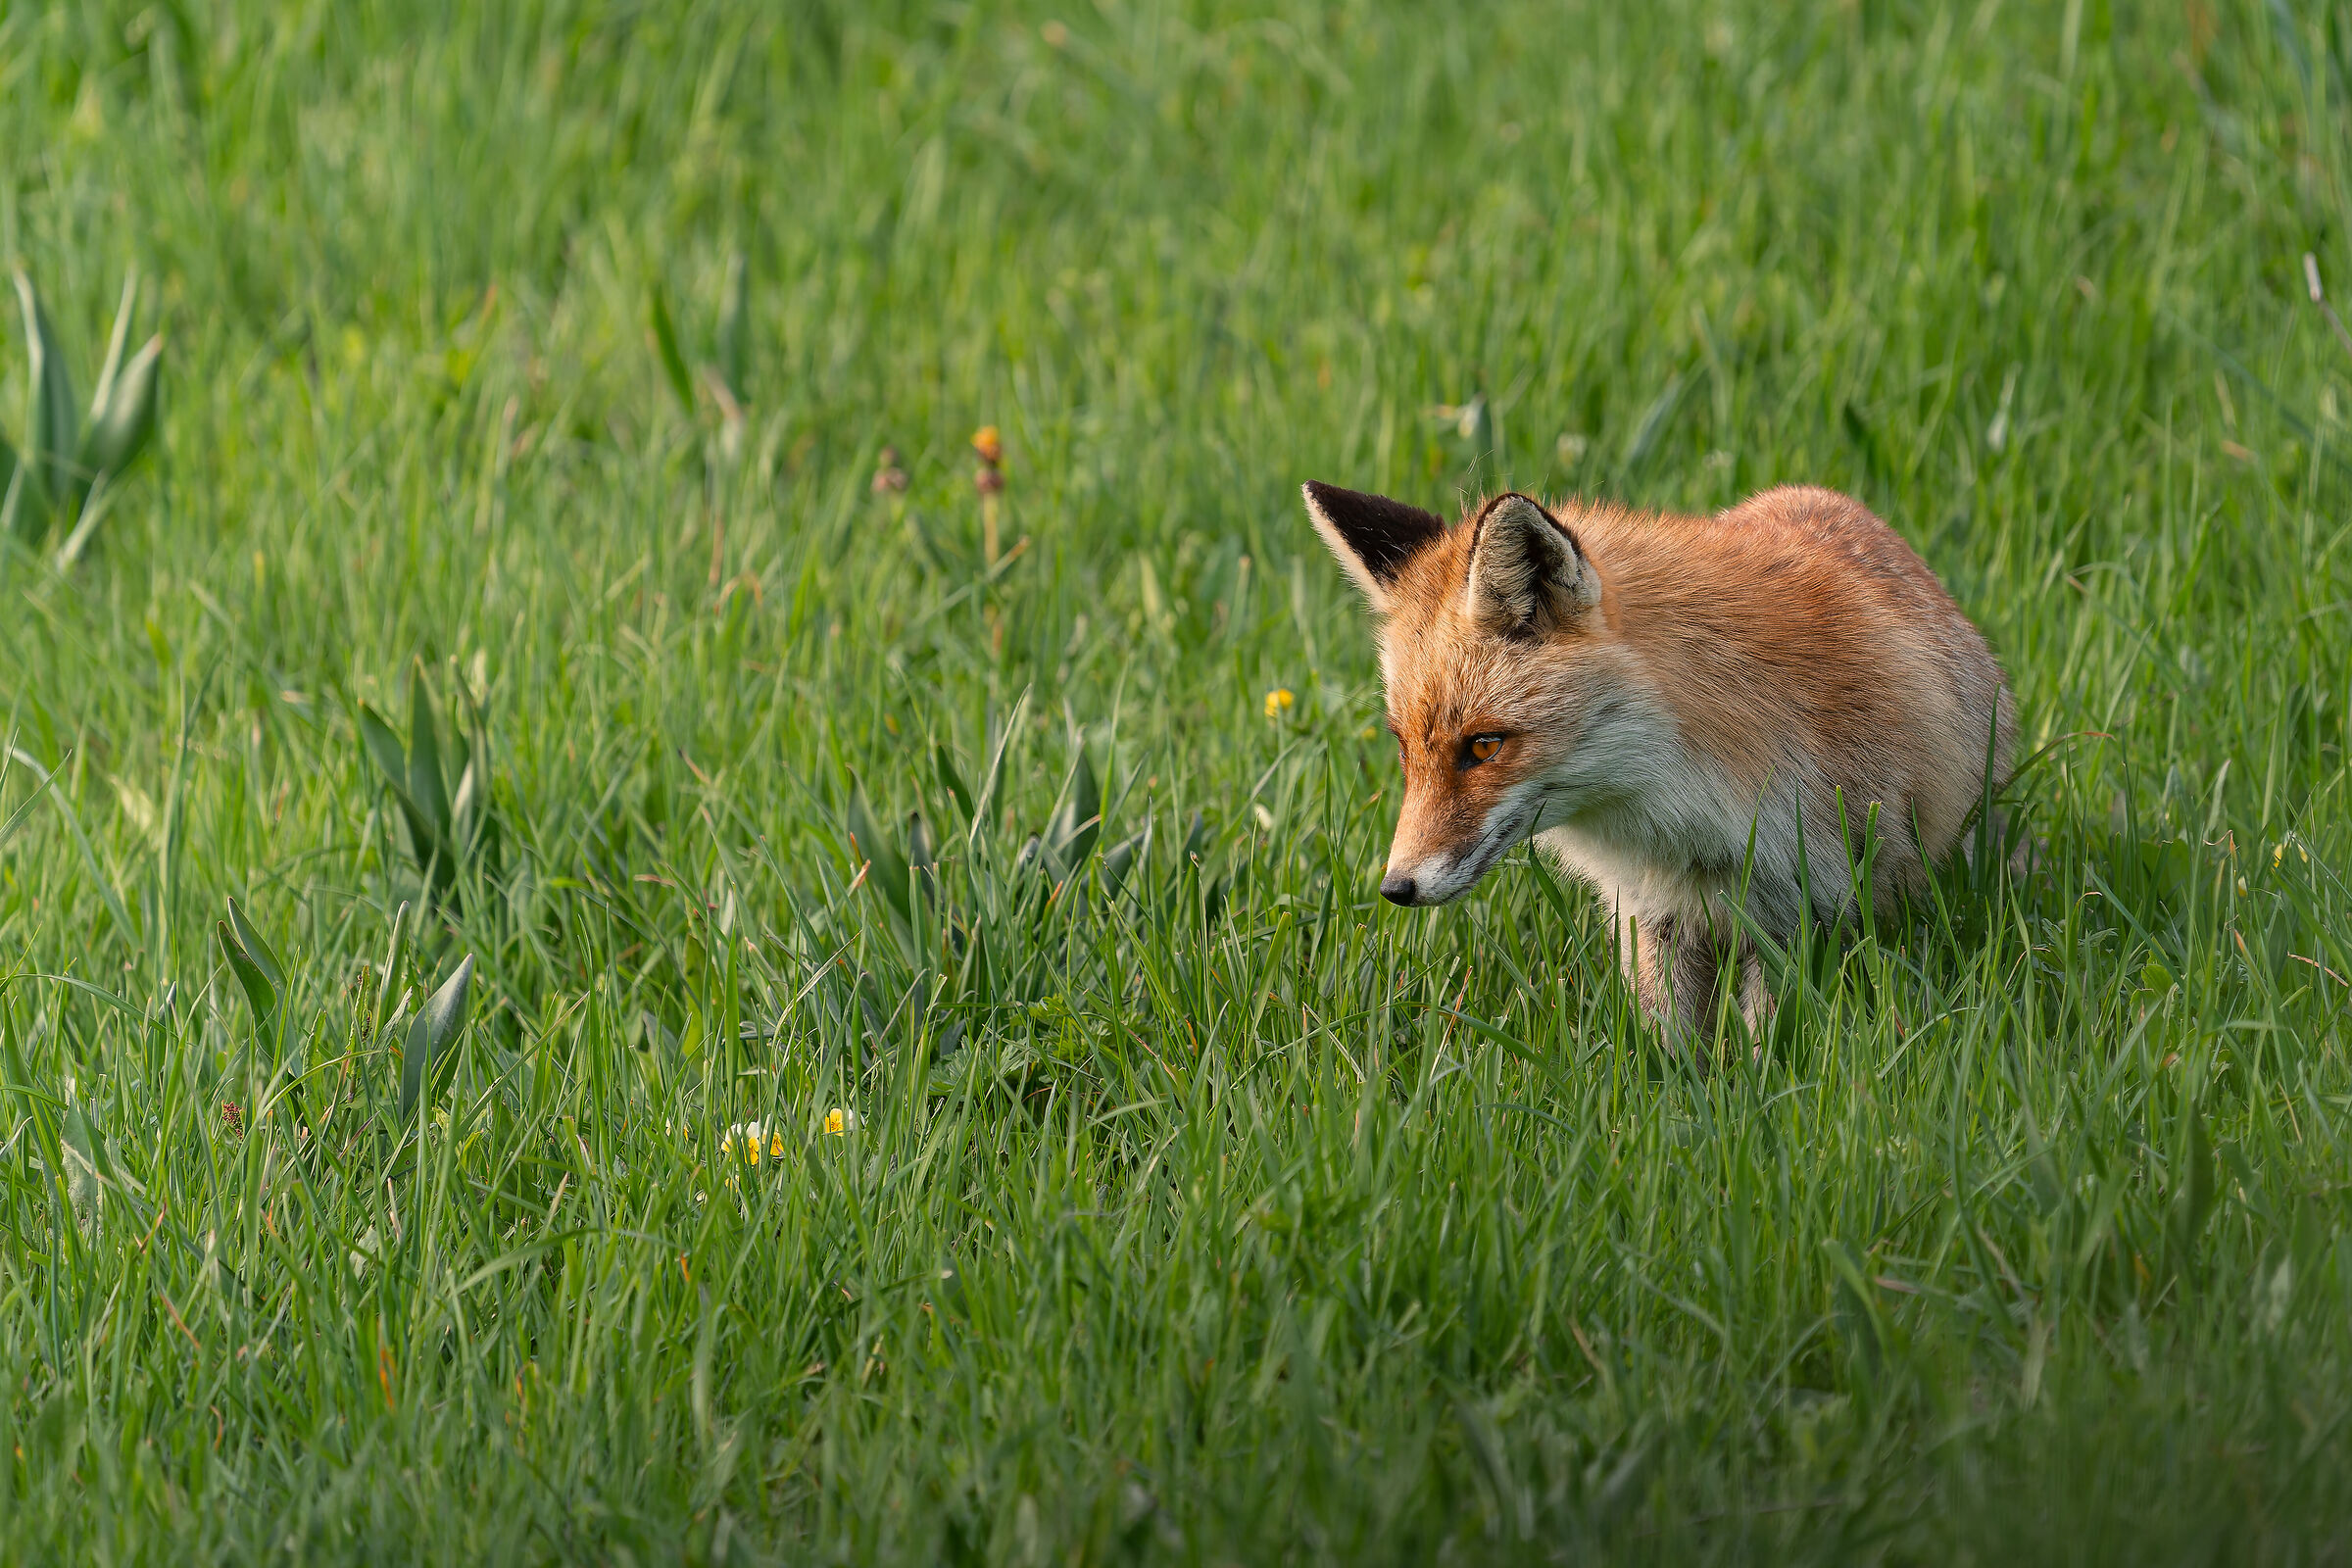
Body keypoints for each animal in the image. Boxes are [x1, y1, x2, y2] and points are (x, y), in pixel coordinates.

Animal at [1305, 480, 2015, 1043]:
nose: (1396, 888)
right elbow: (1672, 1054)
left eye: (1483, 746)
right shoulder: (1653, 913)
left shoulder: (1801, 909)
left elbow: (1766, 1050)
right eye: (1404, 747)